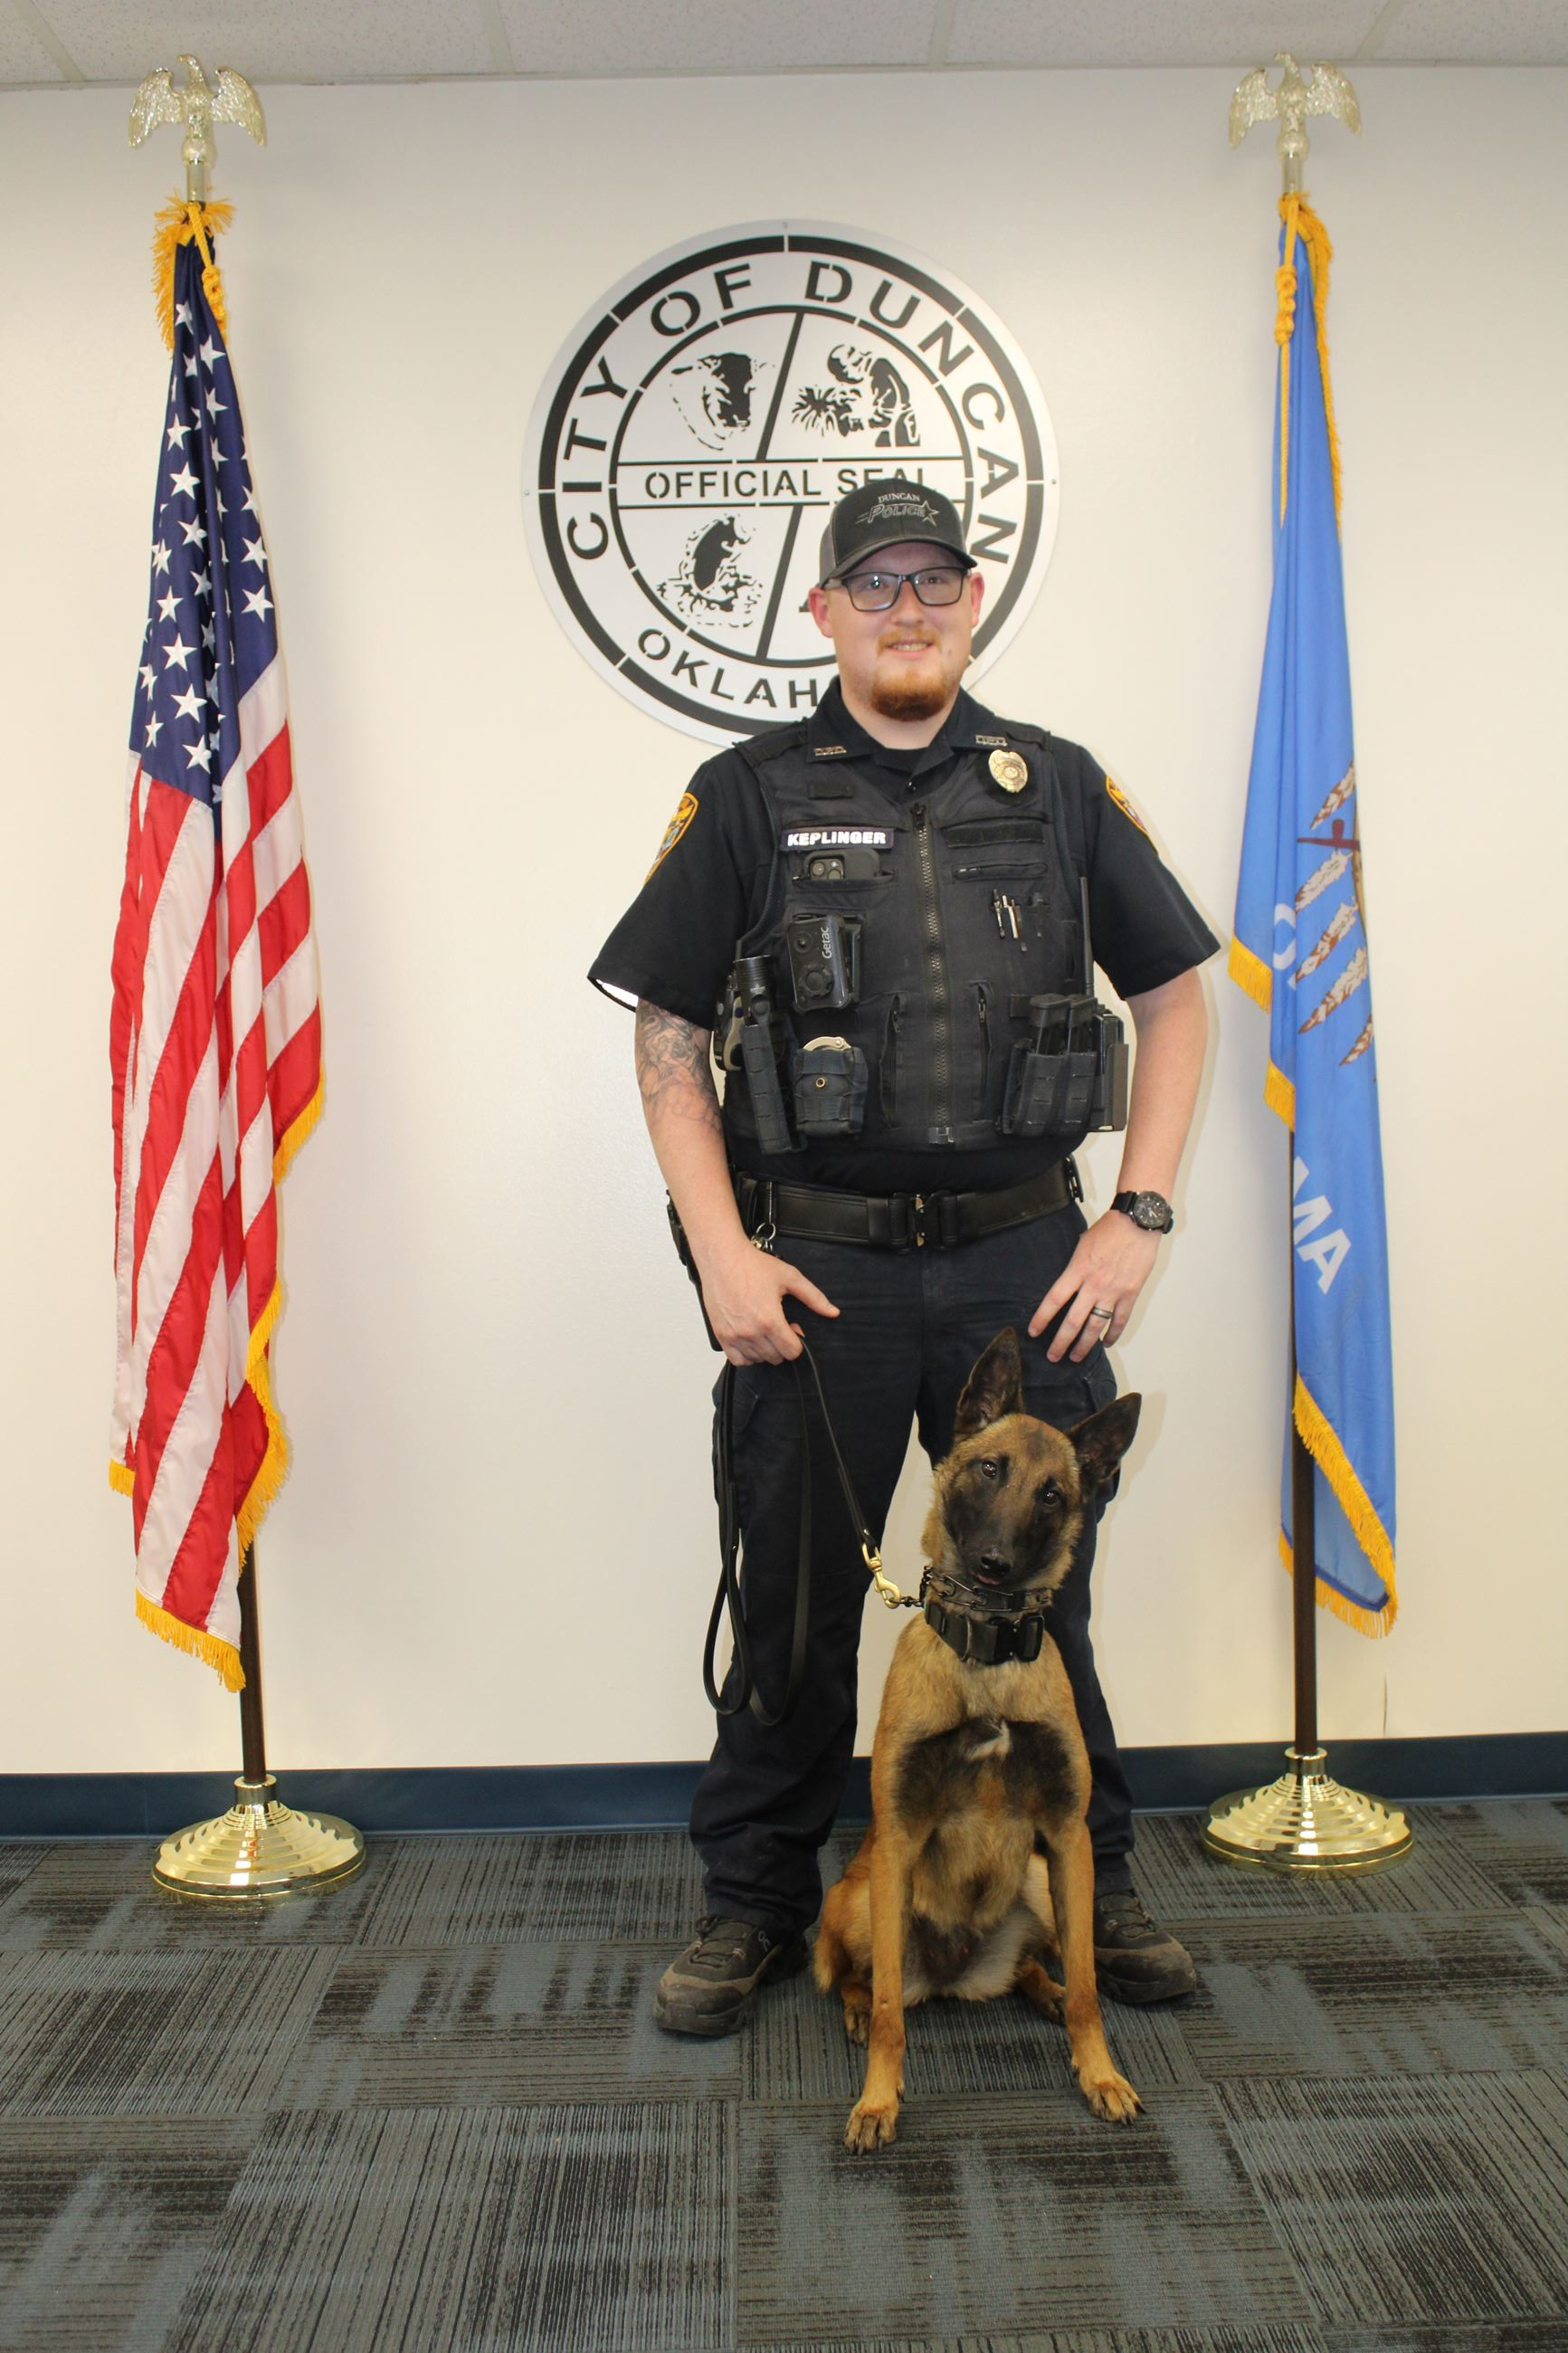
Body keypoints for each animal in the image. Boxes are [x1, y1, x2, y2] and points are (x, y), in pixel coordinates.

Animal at [813, 1327, 1143, 2153]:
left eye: (1053, 1493)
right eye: (990, 1470)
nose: (995, 1565)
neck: (986, 1660)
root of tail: (952, 1974)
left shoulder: (1068, 1838)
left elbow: (1091, 1987)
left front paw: (1098, 2073)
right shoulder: (898, 1839)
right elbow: (892, 2013)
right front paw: (877, 2101)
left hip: (1042, 1886)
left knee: (1035, 1965)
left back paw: (1043, 1989)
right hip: (861, 1899)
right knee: (865, 1978)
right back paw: (857, 2009)